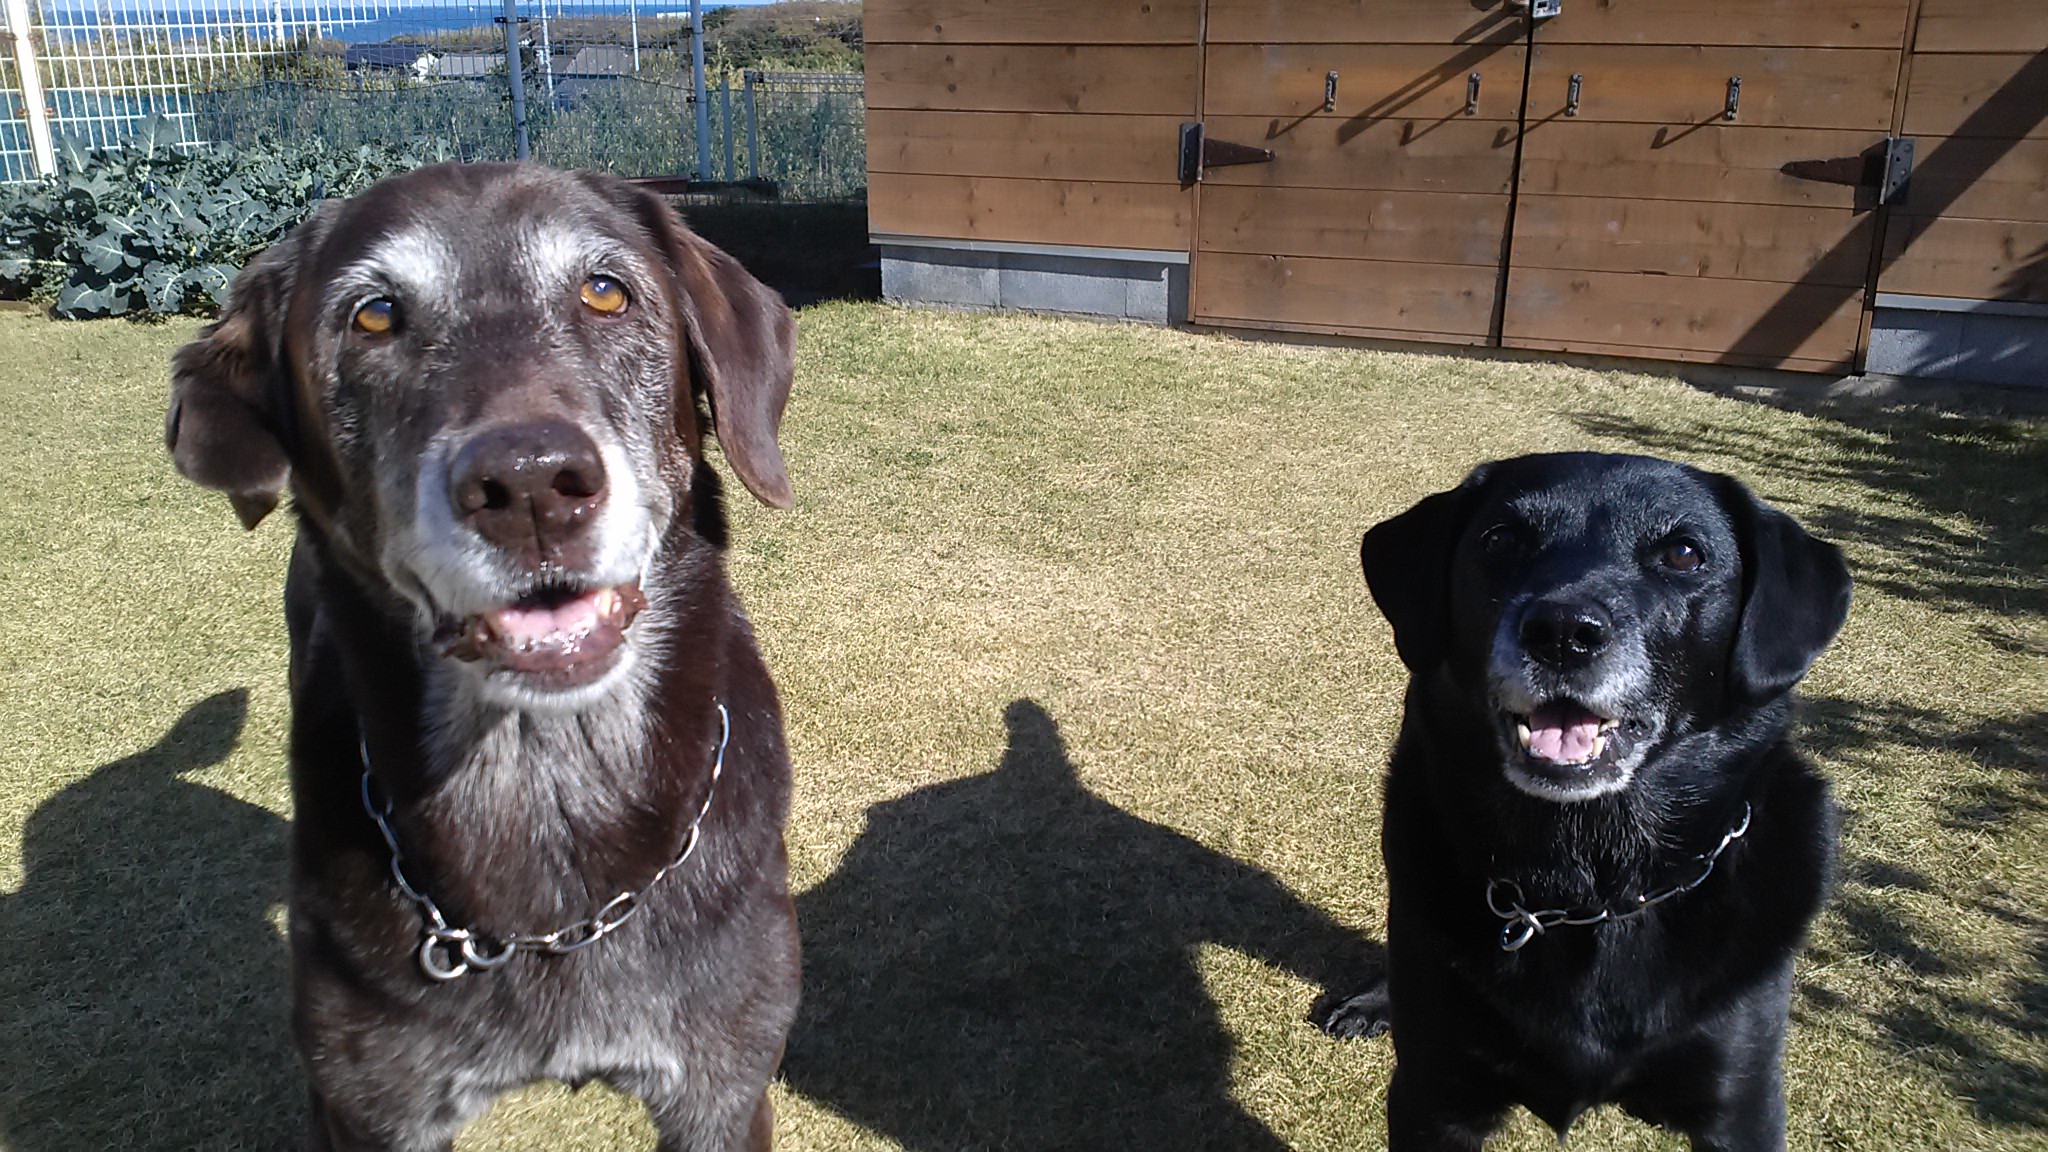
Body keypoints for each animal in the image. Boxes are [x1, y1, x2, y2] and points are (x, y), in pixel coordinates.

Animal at [1315, 452, 1851, 1151]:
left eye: (1684, 553)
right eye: (1500, 541)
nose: (1563, 632)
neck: (1589, 887)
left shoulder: (1743, 1105)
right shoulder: (1435, 1094)